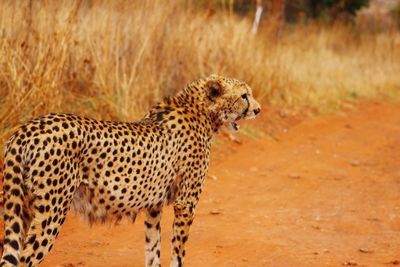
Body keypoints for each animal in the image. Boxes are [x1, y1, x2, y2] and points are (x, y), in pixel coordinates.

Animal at [0, 74, 260, 266]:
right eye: (244, 96)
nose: (258, 110)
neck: (201, 110)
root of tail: (26, 128)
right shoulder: (186, 203)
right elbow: (177, 251)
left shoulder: (154, 206)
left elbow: (152, 248)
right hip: (51, 211)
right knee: (24, 259)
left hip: (22, 207)